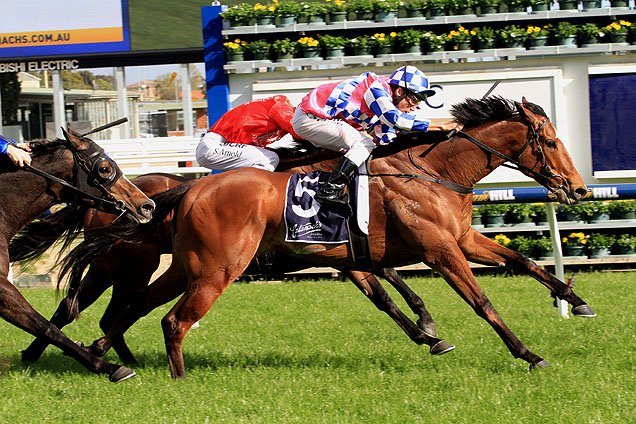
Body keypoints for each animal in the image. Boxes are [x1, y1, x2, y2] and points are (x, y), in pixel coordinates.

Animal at [67, 98, 592, 378]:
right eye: (549, 141)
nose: (578, 188)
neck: (430, 171)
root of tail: (189, 188)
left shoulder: (455, 239)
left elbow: (524, 263)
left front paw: (576, 300)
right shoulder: (438, 250)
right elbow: (480, 302)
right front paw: (528, 354)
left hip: (183, 266)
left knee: (133, 309)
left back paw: (103, 352)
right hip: (212, 270)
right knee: (169, 319)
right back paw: (168, 376)